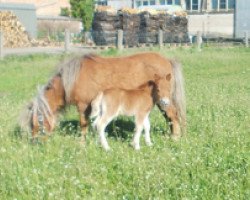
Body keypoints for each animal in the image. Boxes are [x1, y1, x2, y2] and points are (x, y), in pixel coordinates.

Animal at [20, 52, 186, 142]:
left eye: (36, 122)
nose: (35, 142)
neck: (73, 77)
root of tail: (167, 60)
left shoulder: (83, 106)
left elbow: (83, 124)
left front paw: (82, 143)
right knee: (170, 118)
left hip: (164, 101)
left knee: (173, 116)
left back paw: (175, 138)